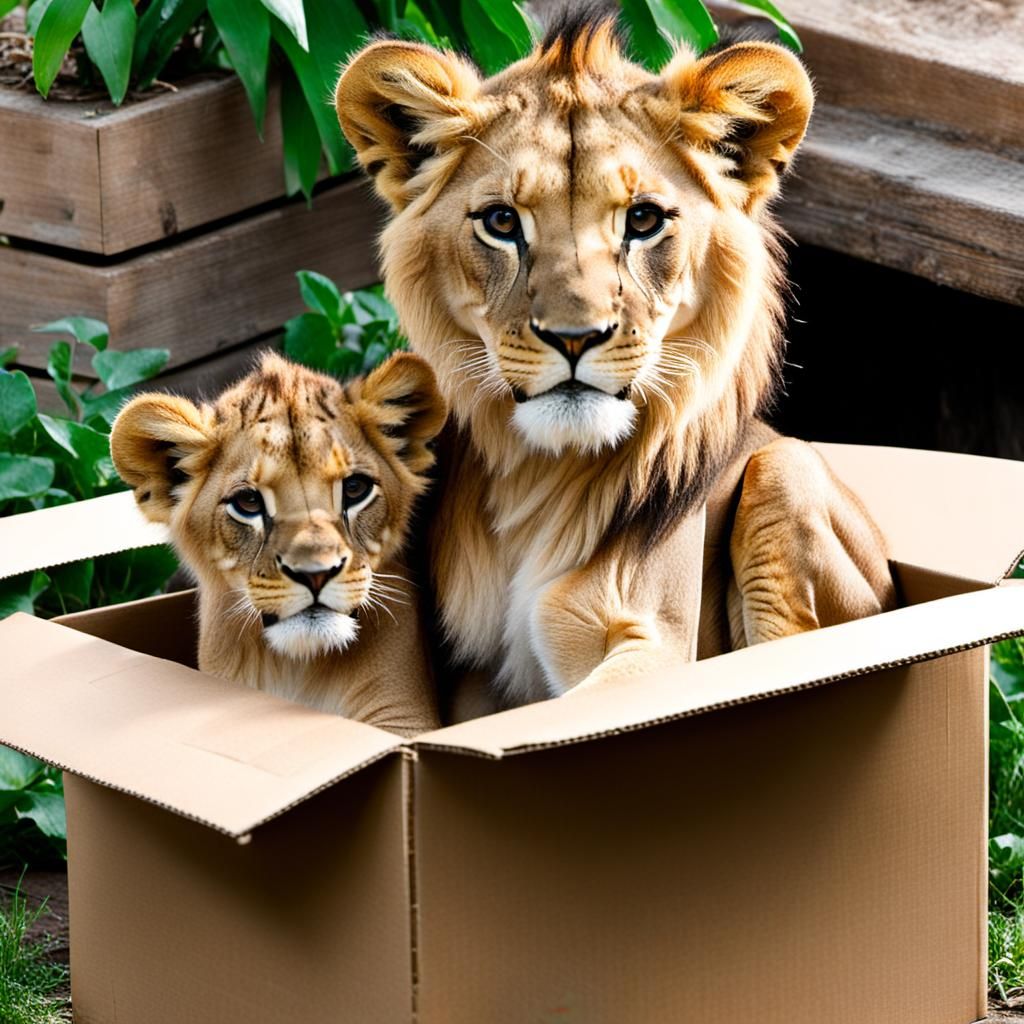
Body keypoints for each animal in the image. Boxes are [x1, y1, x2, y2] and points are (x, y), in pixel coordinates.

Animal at [335, 12, 895, 713]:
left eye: (644, 219)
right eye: (501, 222)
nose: (576, 338)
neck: (539, 479)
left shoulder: (655, 645)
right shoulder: (471, 677)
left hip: (786, 469)